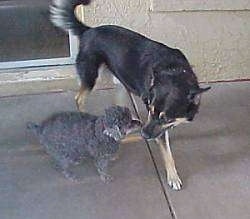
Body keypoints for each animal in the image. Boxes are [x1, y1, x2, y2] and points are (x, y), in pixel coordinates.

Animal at [49, 0, 210, 190]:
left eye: (166, 118)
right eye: (151, 111)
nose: (144, 135)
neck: (175, 71)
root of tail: (89, 30)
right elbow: (167, 151)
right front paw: (173, 176)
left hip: (119, 79)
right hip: (90, 76)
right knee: (79, 98)